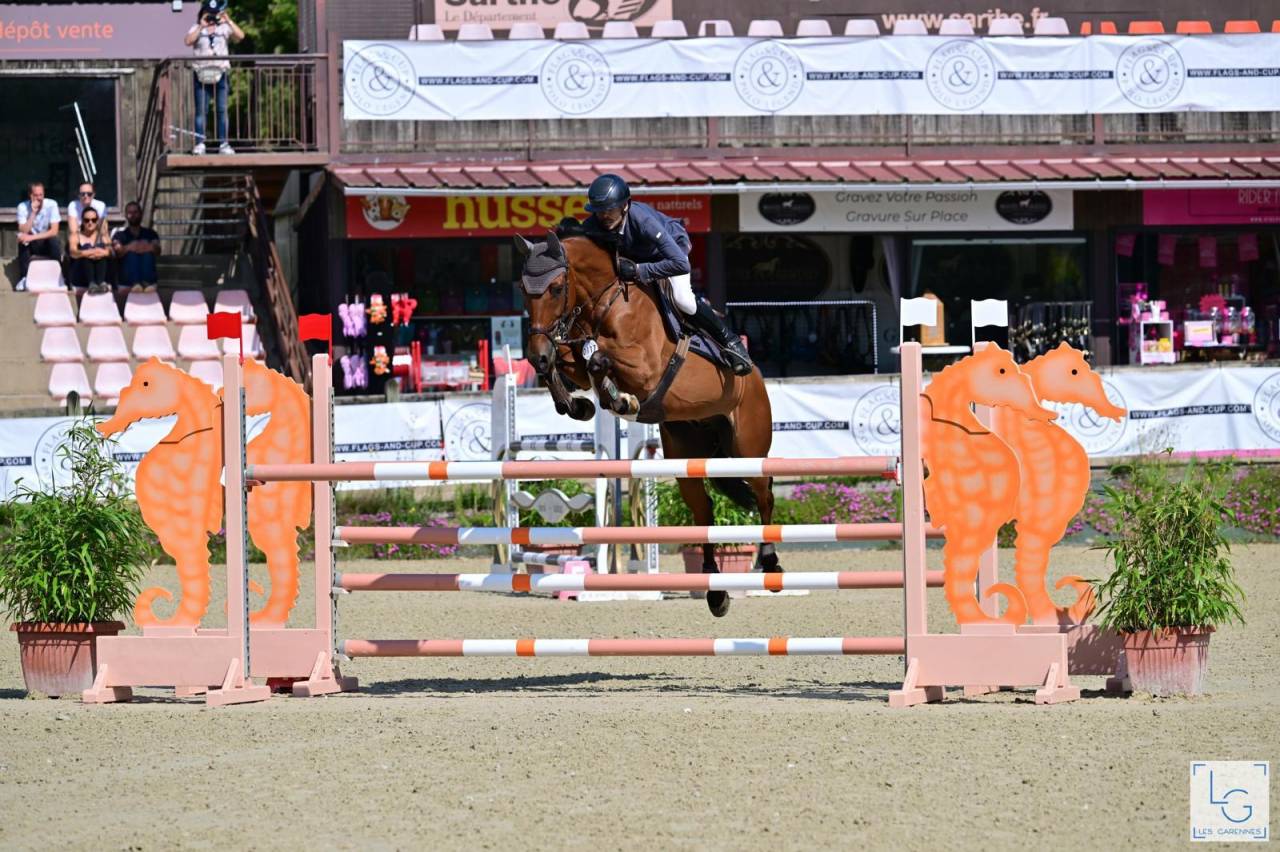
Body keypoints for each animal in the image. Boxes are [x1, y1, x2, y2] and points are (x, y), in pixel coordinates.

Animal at [514, 229, 778, 617]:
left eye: (557, 288)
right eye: (523, 289)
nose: (535, 355)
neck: (605, 303)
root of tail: (757, 377)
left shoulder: (645, 367)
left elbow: (598, 359)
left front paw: (620, 400)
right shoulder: (574, 351)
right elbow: (572, 360)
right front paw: (577, 404)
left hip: (748, 447)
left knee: (764, 494)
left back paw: (770, 563)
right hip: (686, 452)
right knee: (704, 510)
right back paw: (715, 591)